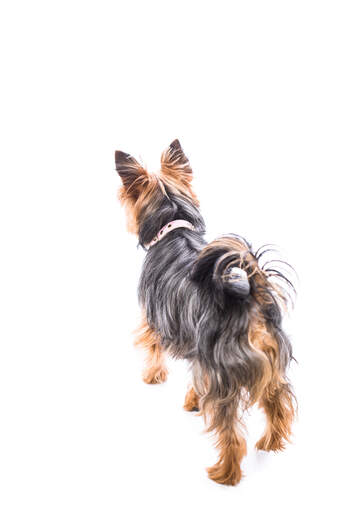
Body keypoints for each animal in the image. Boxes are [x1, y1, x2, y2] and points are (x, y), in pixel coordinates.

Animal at [114, 139, 294, 484]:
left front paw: (153, 376)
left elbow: (154, 349)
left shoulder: (155, 320)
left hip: (223, 372)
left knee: (231, 432)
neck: (173, 224)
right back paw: (271, 442)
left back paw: (225, 473)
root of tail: (247, 298)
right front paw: (191, 400)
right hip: (271, 363)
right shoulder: (196, 348)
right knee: (278, 403)